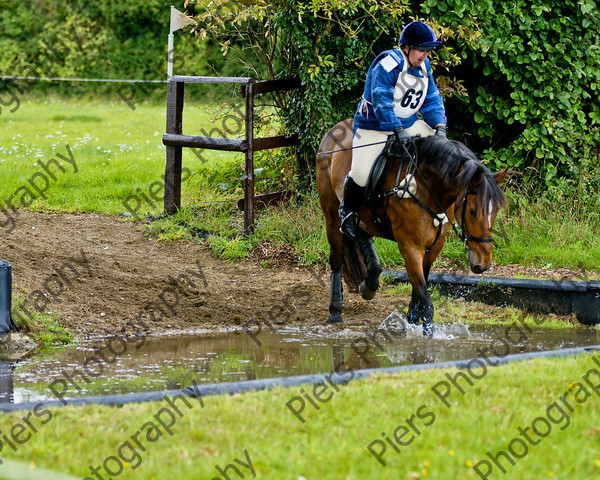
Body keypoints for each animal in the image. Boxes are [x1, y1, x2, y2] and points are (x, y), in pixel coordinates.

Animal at [316, 119, 508, 338]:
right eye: (473, 212)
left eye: (496, 211)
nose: (483, 264)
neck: (429, 188)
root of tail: (337, 128)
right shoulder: (410, 247)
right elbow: (425, 299)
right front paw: (428, 334)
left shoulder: (435, 246)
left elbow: (419, 290)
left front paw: (413, 320)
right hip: (331, 218)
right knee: (337, 259)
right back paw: (335, 312)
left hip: (364, 218)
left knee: (361, 234)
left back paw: (369, 282)